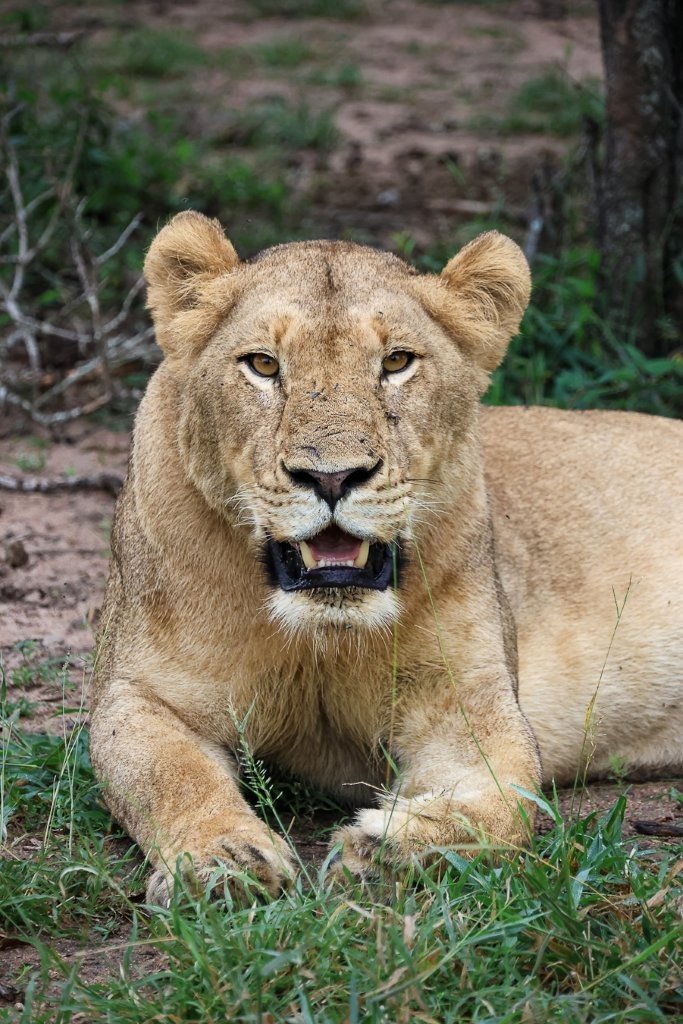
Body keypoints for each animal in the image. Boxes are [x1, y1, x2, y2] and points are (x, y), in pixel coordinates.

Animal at [89, 211, 683, 904]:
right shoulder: (137, 695)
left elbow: (506, 803)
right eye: (263, 364)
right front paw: (224, 860)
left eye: (396, 361)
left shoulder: (468, 698)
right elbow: (172, 777)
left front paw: (394, 848)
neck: (320, 637)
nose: (332, 477)